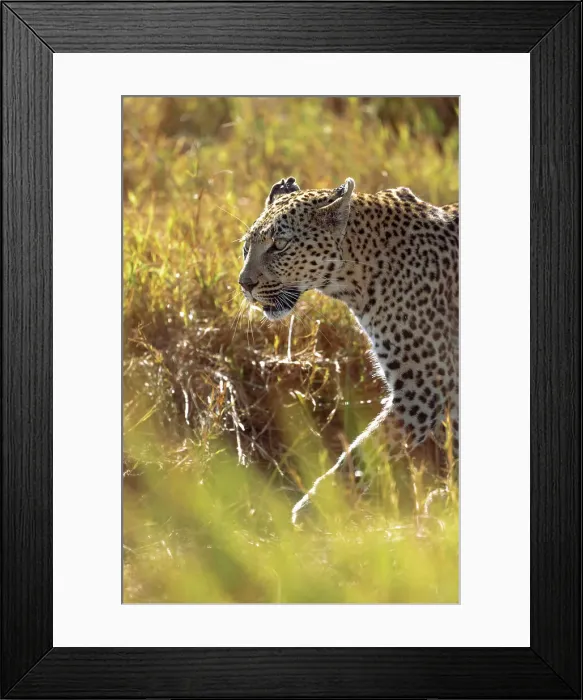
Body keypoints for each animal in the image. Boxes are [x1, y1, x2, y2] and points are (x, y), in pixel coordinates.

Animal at [238, 176, 459, 522]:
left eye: (279, 245)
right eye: (246, 247)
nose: (244, 285)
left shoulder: (424, 387)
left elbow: (367, 451)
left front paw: (314, 509)